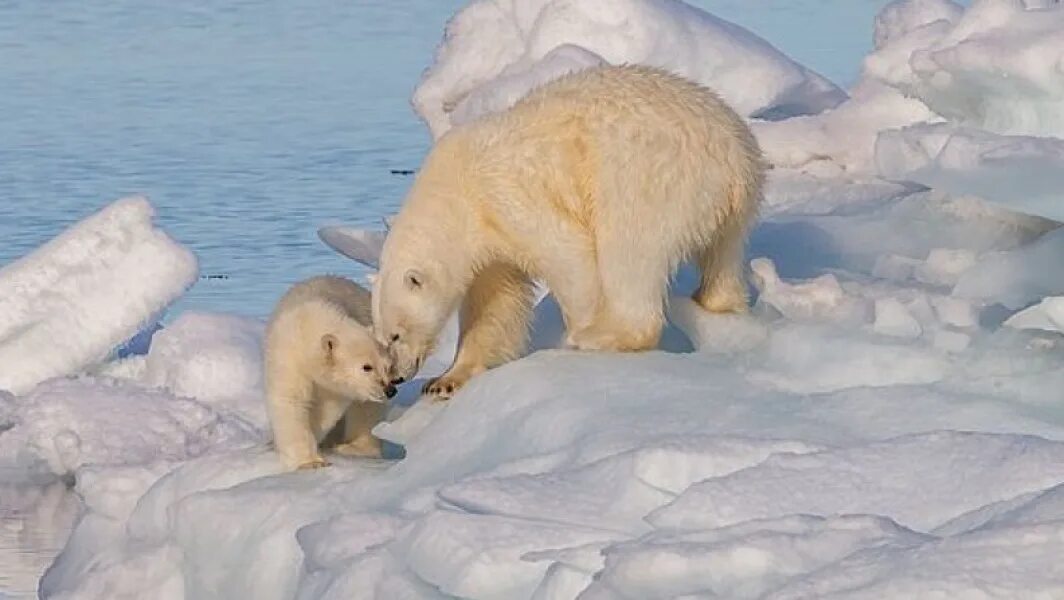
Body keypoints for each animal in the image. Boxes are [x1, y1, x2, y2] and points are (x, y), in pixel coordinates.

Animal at [374, 64, 766, 397]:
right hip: (733, 206)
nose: (397, 377)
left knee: (630, 253)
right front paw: (446, 380)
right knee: (723, 257)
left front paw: (581, 327)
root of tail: (735, 158)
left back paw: (600, 336)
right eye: (379, 336)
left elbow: (568, 255)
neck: (456, 193)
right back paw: (717, 302)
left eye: (395, 335)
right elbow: (494, 303)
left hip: (649, 179)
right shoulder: (487, 244)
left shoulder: (507, 197)